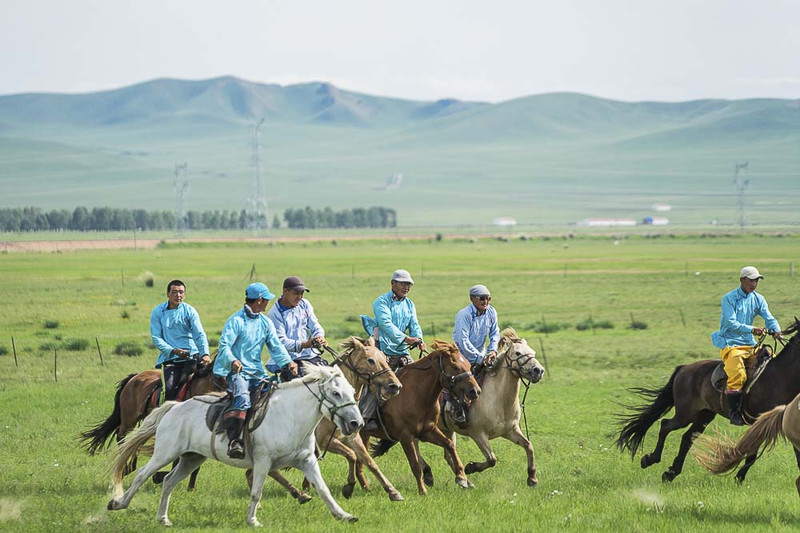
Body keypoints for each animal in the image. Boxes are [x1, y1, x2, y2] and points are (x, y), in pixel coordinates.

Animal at [108, 364, 364, 524]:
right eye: (335, 393)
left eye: (352, 391)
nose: (356, 423)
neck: (290, 416)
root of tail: (174, 407)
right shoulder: (263, 462)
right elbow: (256, 492)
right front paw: (252, 520)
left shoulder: (306, 461)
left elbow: (323, 490)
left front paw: (344, 515)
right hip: (165, 453)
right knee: (142, 473)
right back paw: (118, 503)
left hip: (191, 458)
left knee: (169, 481)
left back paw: (163, 518)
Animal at [364, 340, 482, 494]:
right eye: (455, 367)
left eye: (469, 365)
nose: (475, 391)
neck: (417, 394)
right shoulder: (405, 436)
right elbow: (415, 465)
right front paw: (422, 491)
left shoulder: (427, 431)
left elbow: (449, 445)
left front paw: (461, 477)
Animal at [428, 324, 548, 486]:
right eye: (517, 353)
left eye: (533, 352)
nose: (539, 371)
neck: (499, 401)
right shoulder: (478, 434)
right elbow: (492, 459)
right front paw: (471, 467)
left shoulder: (510, 430)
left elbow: (529, 446)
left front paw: (532, 478)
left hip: (446, 429)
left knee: (448, 453)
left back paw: (464, 481)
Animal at [616, 318, 800, 484]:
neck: (780, 377)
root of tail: (684, 368)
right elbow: (752, 453)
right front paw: (739, 477)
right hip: (685, 415)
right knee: (665, 425)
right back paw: (651, 459)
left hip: (704, 415)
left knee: (687, 438)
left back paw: (671, 473)